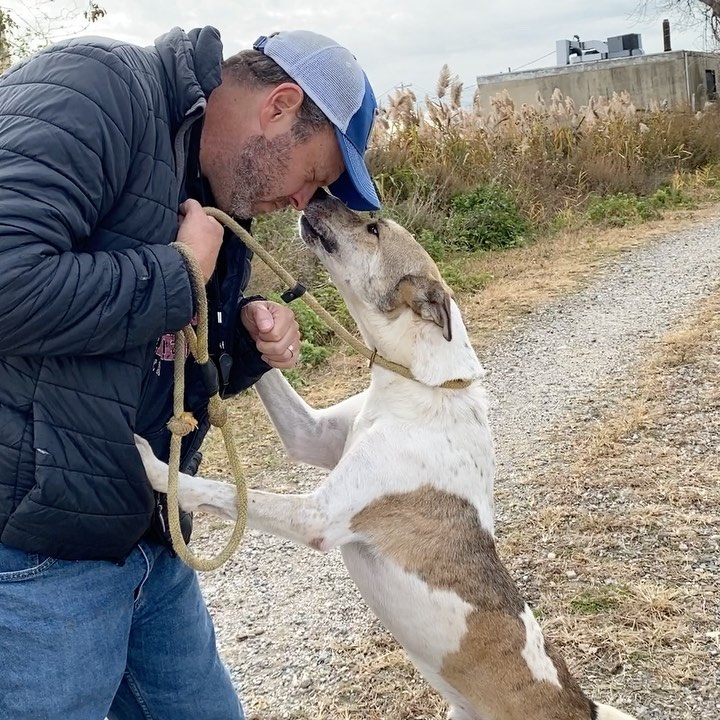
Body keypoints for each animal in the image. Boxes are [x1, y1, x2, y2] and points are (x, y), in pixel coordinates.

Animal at [135, 191, 636, 720]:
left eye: (374, 229)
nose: (318, 195)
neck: (421, 384)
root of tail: (582, 707)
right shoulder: (310, 436)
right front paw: (248, 317)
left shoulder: (316, 515)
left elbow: (222, 490)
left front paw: (152, 464)